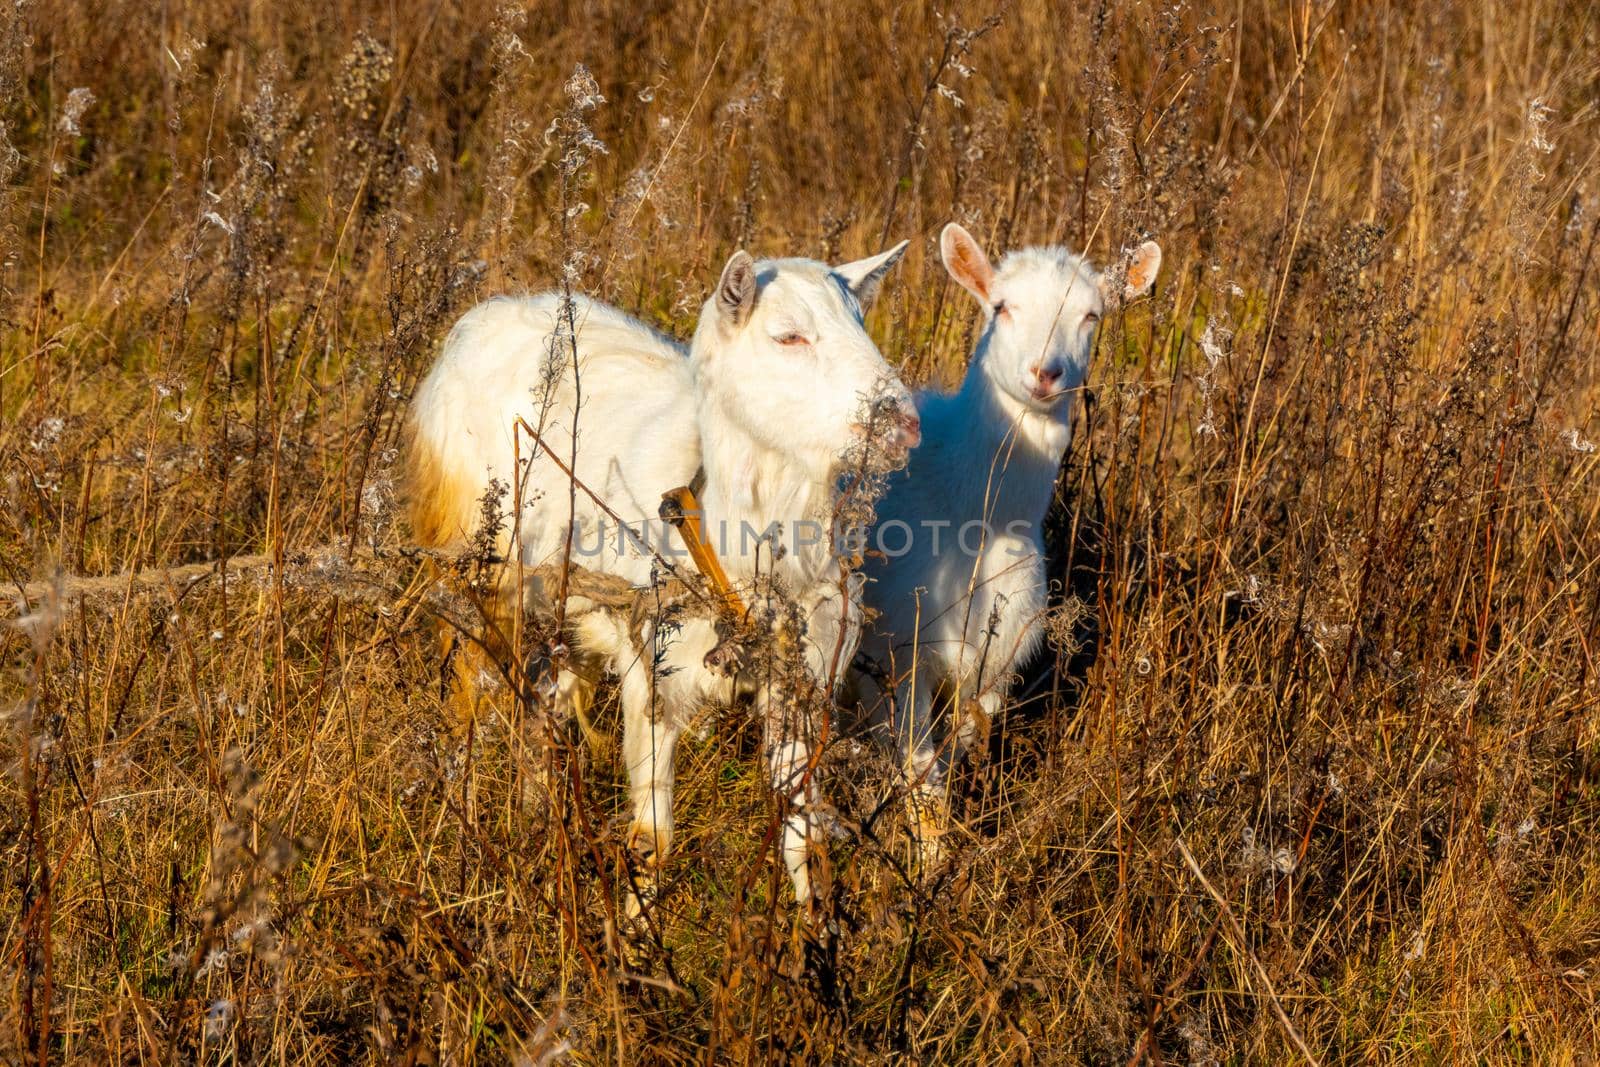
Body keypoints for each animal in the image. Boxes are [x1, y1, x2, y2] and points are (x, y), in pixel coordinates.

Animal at [406, 246, 921, 908]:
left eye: (862, 323)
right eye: (788, 336)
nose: (902, 426)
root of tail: (485, 315)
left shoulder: (797, 681)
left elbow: (802, 834)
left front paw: (813, 927)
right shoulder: (653, 679)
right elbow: (653, 838)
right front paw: (638, 929)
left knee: (541, 708)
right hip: (479, 572)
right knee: (476, 696)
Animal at [857, 223, 1158, 857]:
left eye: (1092, 315)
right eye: (1001, 306)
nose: (1046, 373)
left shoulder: (996, 664)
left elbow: (959, 754)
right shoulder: (896, 654)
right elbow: (921, 779)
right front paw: (927, 865)